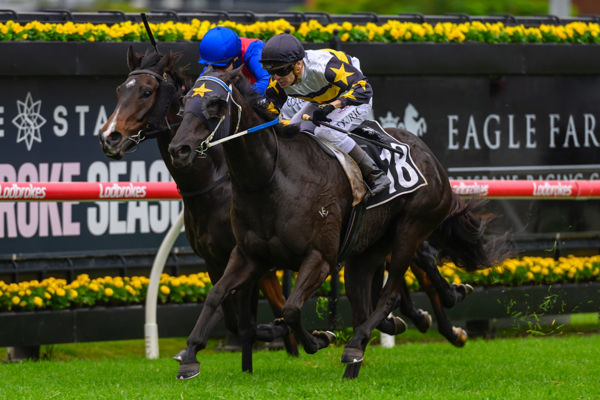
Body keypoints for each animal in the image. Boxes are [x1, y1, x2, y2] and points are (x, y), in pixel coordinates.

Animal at [98, 48, 300, 364]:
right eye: (120, 90)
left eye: (146, 92)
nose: (109, 137)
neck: (213, 185)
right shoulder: (213, 260)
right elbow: (235, 321)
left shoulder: (245, 258)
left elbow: (246, 320)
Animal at [170, 68, 510, 378]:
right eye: (184, 101)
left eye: (215, 103)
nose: (178, 149)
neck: (274, 178)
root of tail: (429, 155)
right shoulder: (248, 256)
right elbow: (216, 296)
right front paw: (190, 355)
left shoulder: (320, 258)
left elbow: (291, 310)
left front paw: (320, 339)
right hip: (366, 252)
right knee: (369, 298)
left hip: (411, 229)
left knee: (390, 292)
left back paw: (358, 344)